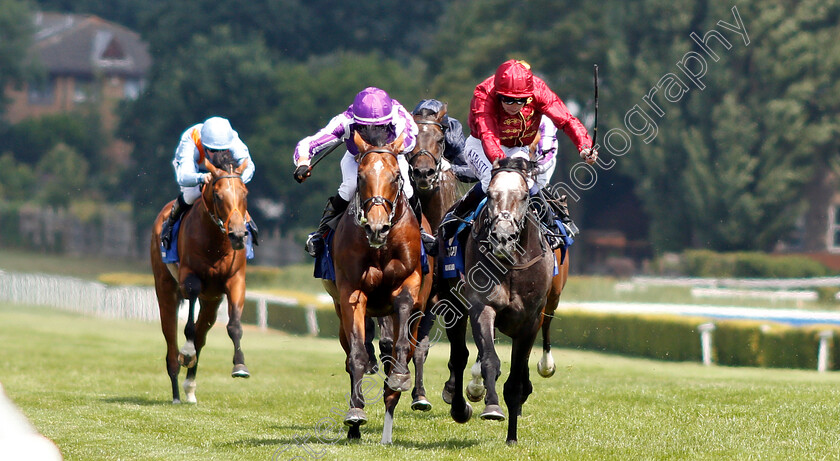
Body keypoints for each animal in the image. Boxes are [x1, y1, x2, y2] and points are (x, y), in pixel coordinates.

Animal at [150, 152, 249, 402]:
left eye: (244, 192)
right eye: (218, 195)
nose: (238, 234)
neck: (217, 244)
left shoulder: (235, 281)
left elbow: (234, 325)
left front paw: (240, 366)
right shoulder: (190, 278)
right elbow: (188, 328)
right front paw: (187, 351)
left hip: (212, 301)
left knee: (202, 333)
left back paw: (190, 386)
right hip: (165, 288)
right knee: (171, 338)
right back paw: (177, 390)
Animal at [324, 130, 436, 442]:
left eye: (396, 176)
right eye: (361, 177)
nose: (376, 228)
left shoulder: (408, 286)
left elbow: (400, 346)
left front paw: (398, 377)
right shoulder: (352, 293)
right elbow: (357, 353)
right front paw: (355, 412)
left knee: (404, 350)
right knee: (352, 353)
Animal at [440, 156, 572, 444]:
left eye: (524, 196)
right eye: (490, 194)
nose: (502, 236)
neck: (511, 261)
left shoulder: (531, 318)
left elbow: (516, 379)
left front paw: (512, 435)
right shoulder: (483, 307)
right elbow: (490, 359)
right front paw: (491, 406)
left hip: (552, 300)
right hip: (452, 302)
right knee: (459, 355)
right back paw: (459, 406)